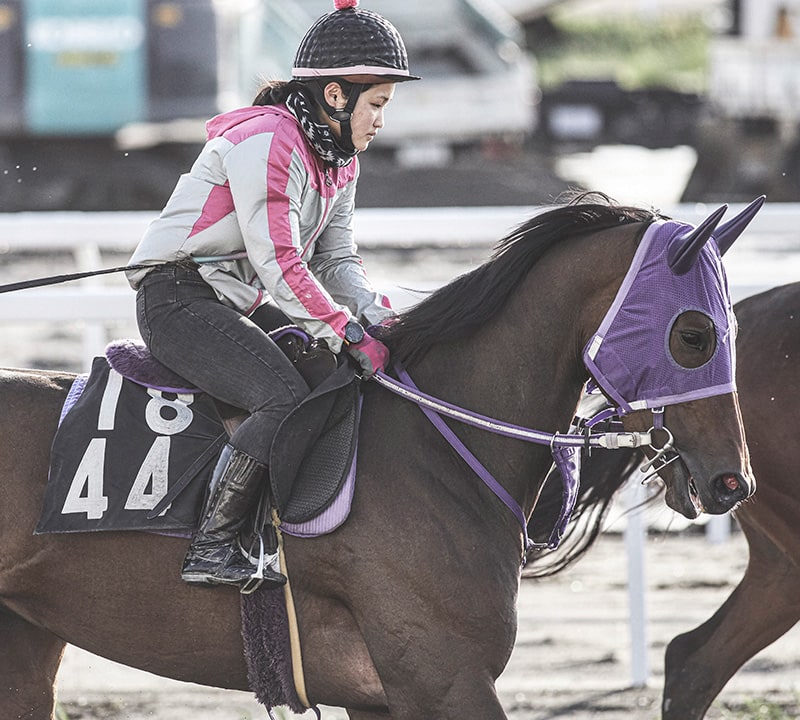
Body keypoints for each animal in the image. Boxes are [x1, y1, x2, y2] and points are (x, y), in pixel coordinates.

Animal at [0, 194, 760, 716]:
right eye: (693, 334)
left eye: (733, 325)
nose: (733, 481)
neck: (437, 446)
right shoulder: (443, 675)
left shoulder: (380, 693)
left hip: (26, 648)